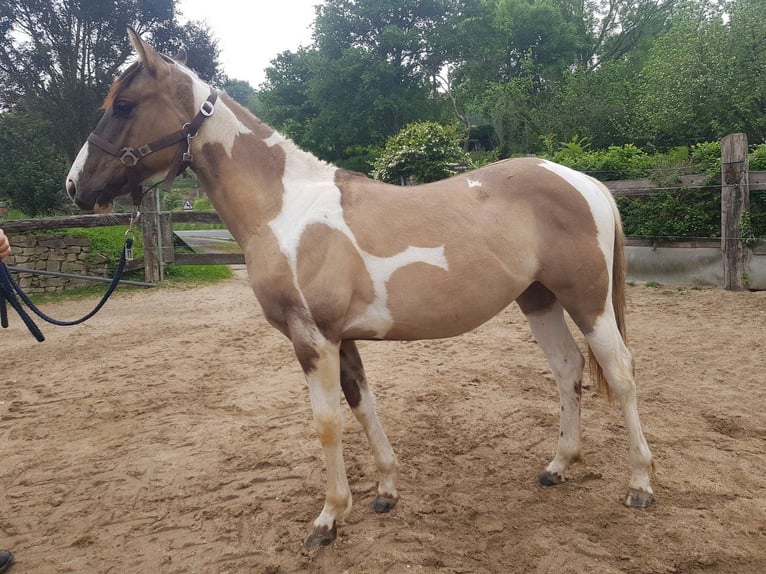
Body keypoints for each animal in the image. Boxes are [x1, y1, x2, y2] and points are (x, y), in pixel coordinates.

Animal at [65, 28, 655, 547]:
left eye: (124, 105)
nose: (76, 186)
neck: (285, 209)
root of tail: (584, 181)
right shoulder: (342, 339)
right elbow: (362, 406)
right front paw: (386, 491)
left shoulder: (313, 338)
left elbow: (327, 423)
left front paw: (328, 519)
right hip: (538, 298)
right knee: (567, 368)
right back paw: (558, 465)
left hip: (587, 301)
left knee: (621, 373)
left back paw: (641, 484)